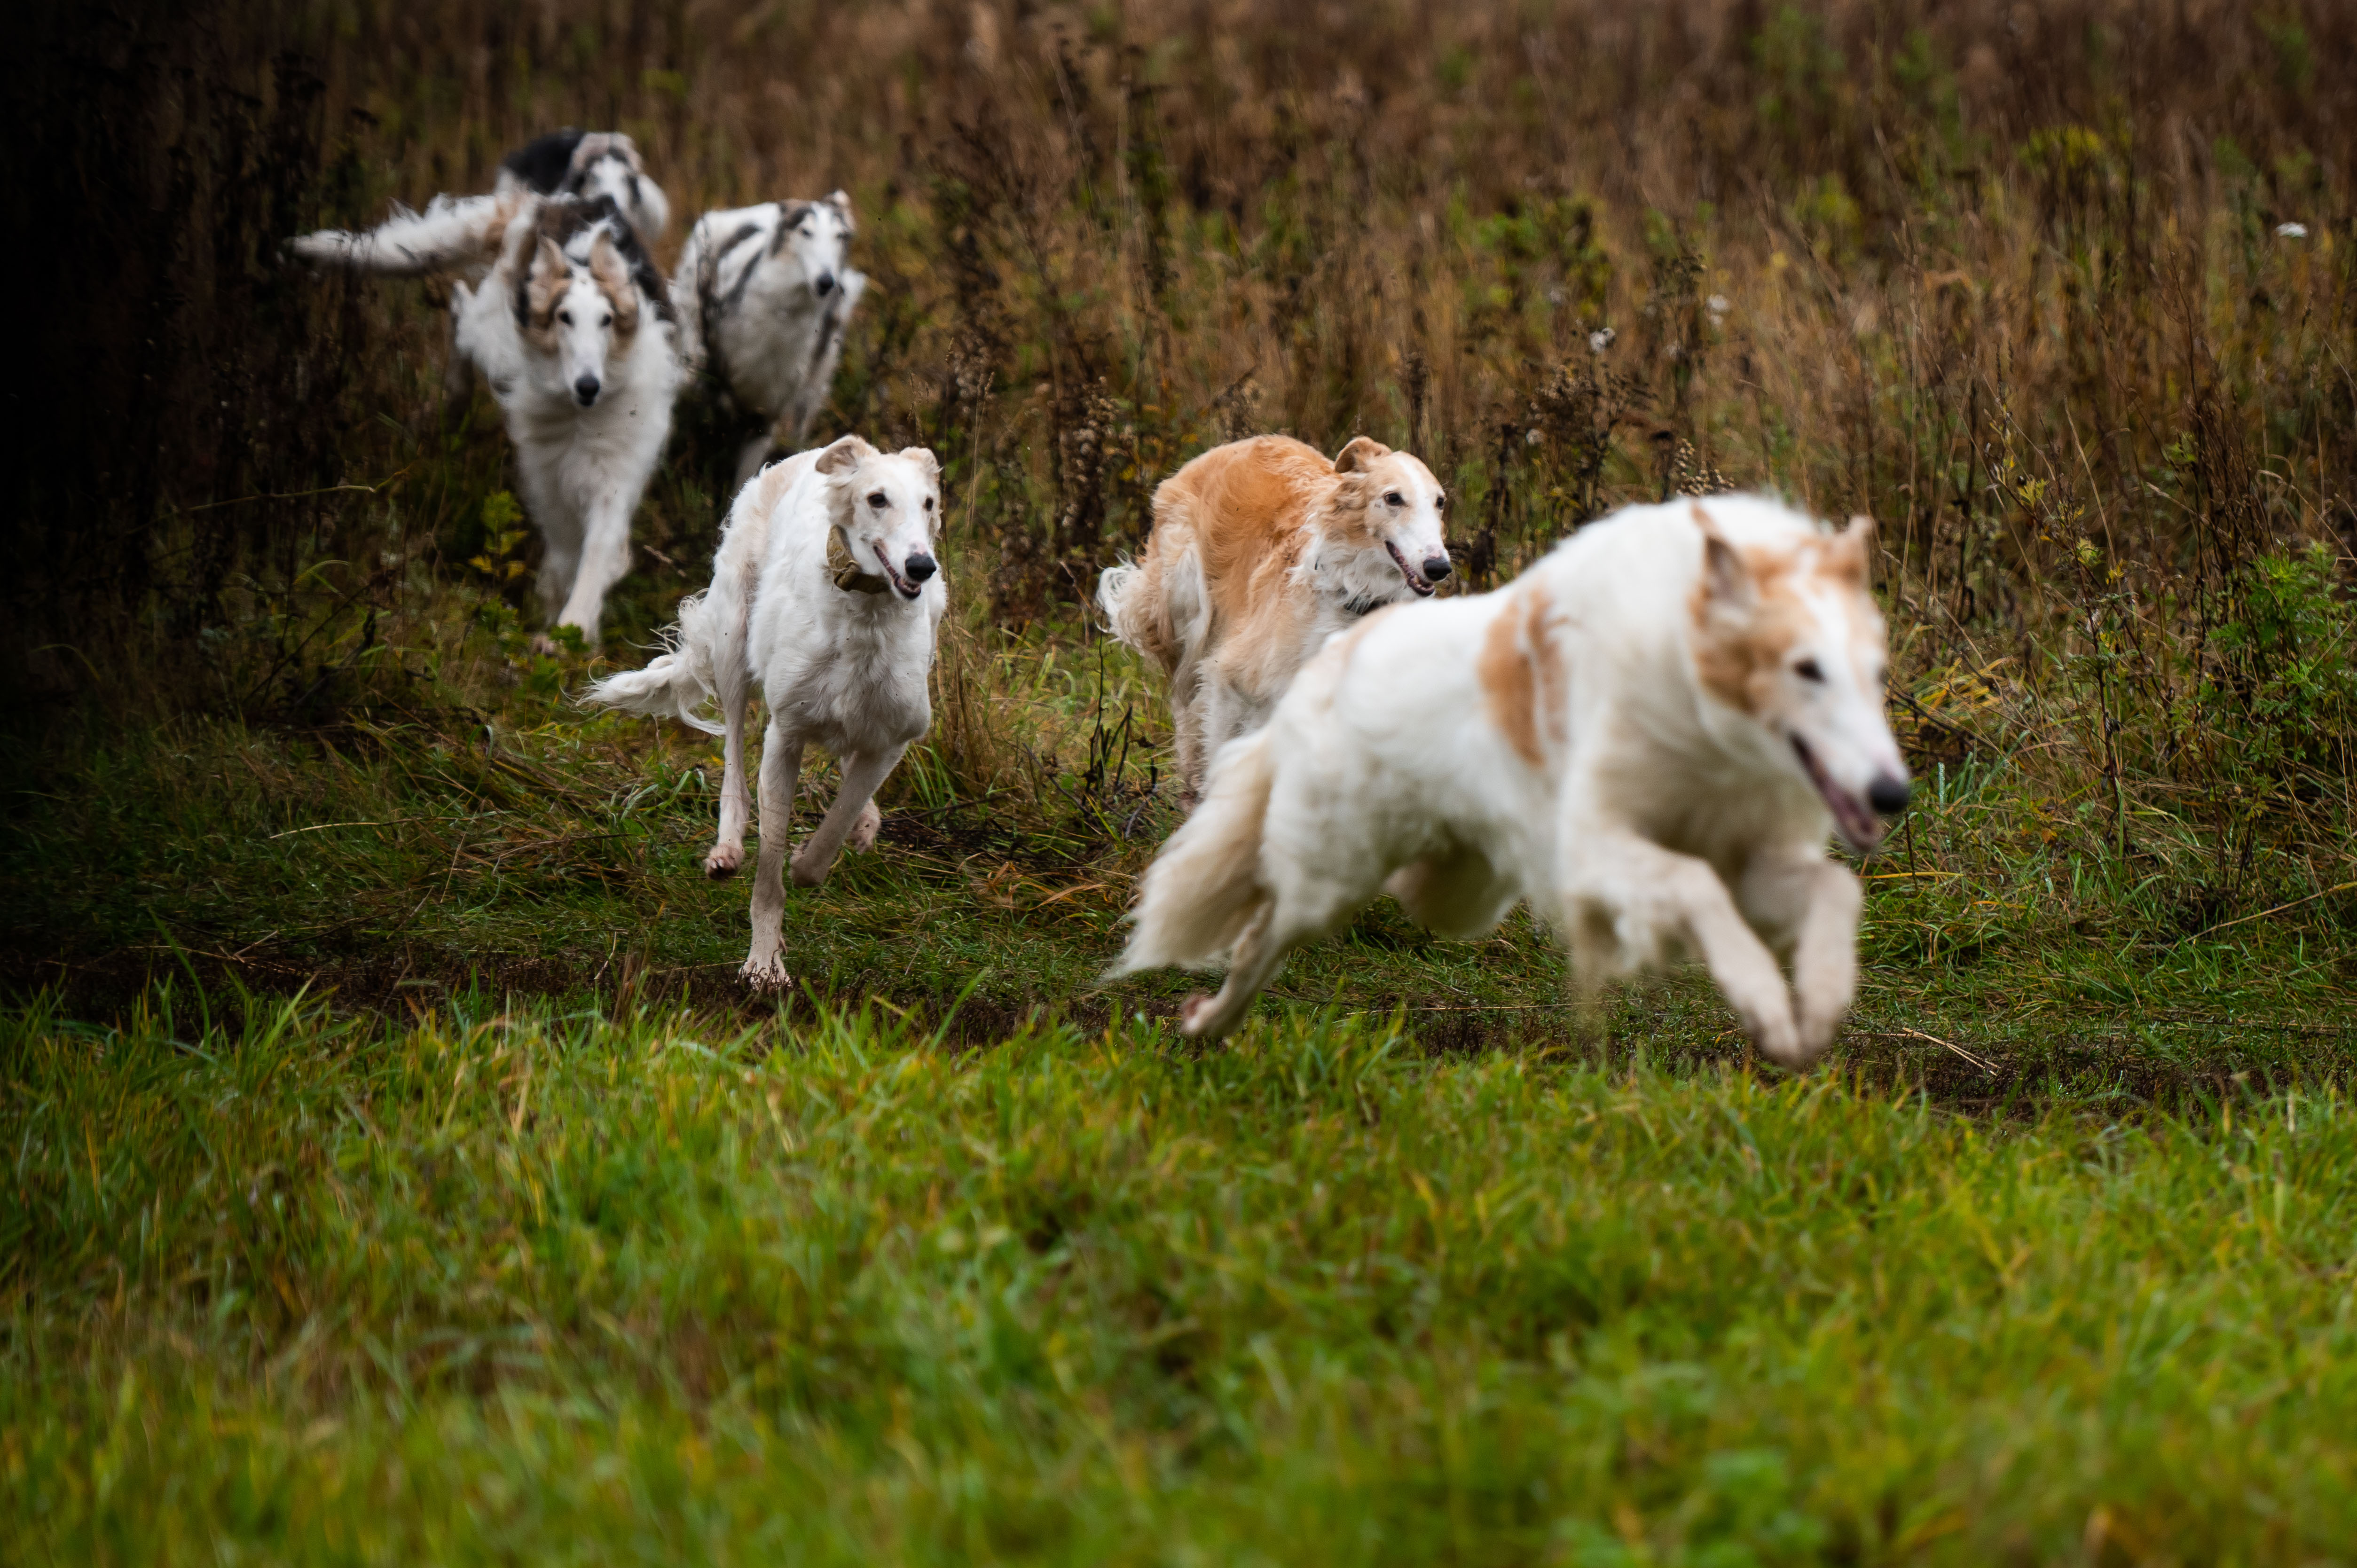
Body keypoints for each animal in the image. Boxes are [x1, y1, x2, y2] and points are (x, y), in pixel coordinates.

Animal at [445, 199, 684, 641]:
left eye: (607, 319)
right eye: (564, 317)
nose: (588, 386)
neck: (581, 419)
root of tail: (560, 200)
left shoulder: (616, 475)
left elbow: (598, 550)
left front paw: (574, 626)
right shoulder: (548, 476)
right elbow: (563, 550)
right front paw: (556, 612)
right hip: (493, 336)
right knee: (459, 307)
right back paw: (453, 396)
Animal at [584, 434, 943, 985]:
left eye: (928, 503)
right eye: (877, 499)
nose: (921, 567)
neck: (862, 623)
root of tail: (801, 456)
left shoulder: (893, 740)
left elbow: (835, 825)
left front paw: (812, 859)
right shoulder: (785, 736)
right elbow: (769, 867)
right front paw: (765, 964)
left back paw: (864, 825)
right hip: (734, 640)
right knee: (733, 759)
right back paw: (727, 849)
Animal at [1098, 431, 1452, 797]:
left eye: (1440, 502)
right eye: (1393, 498)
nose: (1440, 567)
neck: (1351, 596)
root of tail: (1229, 447)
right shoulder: (1229, 678)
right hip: (1187, 609)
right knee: (1186, 707)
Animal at [1108, 495, 1914, 1070]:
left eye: (1875, 674)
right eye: (1805, 669)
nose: (1891, 795)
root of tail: (1338, 659)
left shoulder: (1745, 856)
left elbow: (1833, 892)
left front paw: (1817, 1000)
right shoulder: (1591, 847)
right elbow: (1695, 889)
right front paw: (1764, 1000)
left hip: (1455, 886)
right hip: (1327, 871)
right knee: (1257, 937)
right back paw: (1205, 1022)